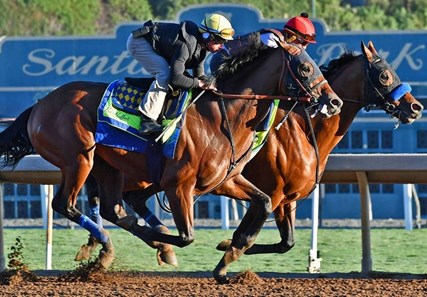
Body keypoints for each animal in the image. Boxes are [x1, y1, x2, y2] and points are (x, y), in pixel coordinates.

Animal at [0, 33, 342, 282]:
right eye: (306, 67)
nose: (334, 102)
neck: (221, 117)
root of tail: (41, 104)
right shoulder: (179, 186)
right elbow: (187, 236)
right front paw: (167, 243)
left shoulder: (224, 180)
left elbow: (263, 203)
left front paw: (227, 258)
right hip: (78, 160)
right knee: (65, 205)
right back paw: (126, 245)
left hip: (107, 167)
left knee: (112, 209)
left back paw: (115, 248)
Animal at [77, 40, 424, 278]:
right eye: (384, 74)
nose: (415, 107)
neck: (305, 130)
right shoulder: (273, 192)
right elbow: (253, 230)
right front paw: (226, 251)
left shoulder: (286, 199)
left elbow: (286, 242)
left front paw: (226, 249)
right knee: (107, 202)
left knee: (122, 203)